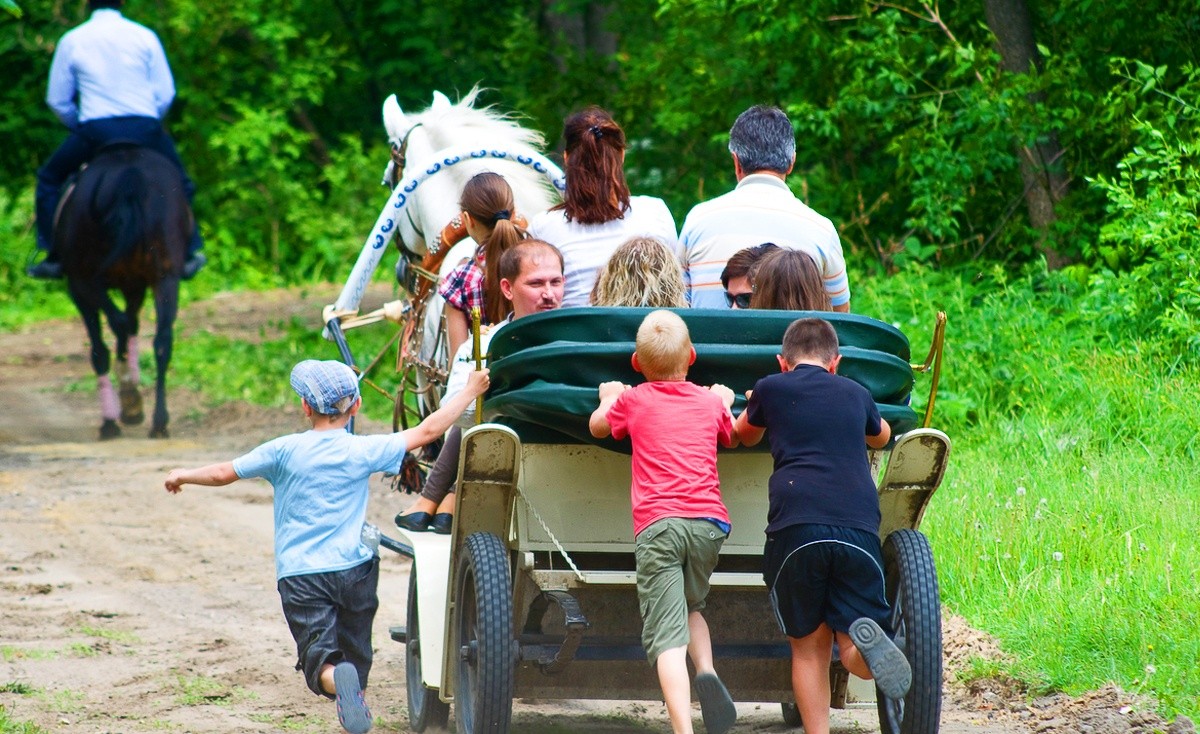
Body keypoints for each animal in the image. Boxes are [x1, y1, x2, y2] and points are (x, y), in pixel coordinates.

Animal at [57, 146, 190, 438]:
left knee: (117, 326)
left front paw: (117, 415)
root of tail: (130, 175)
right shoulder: (135, 285)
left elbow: (101, 348)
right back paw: (158, 421)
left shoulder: (78, 289)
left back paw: (121, 409)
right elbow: (132, 326)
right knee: (162, 341)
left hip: (85, 281)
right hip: (166, 278)